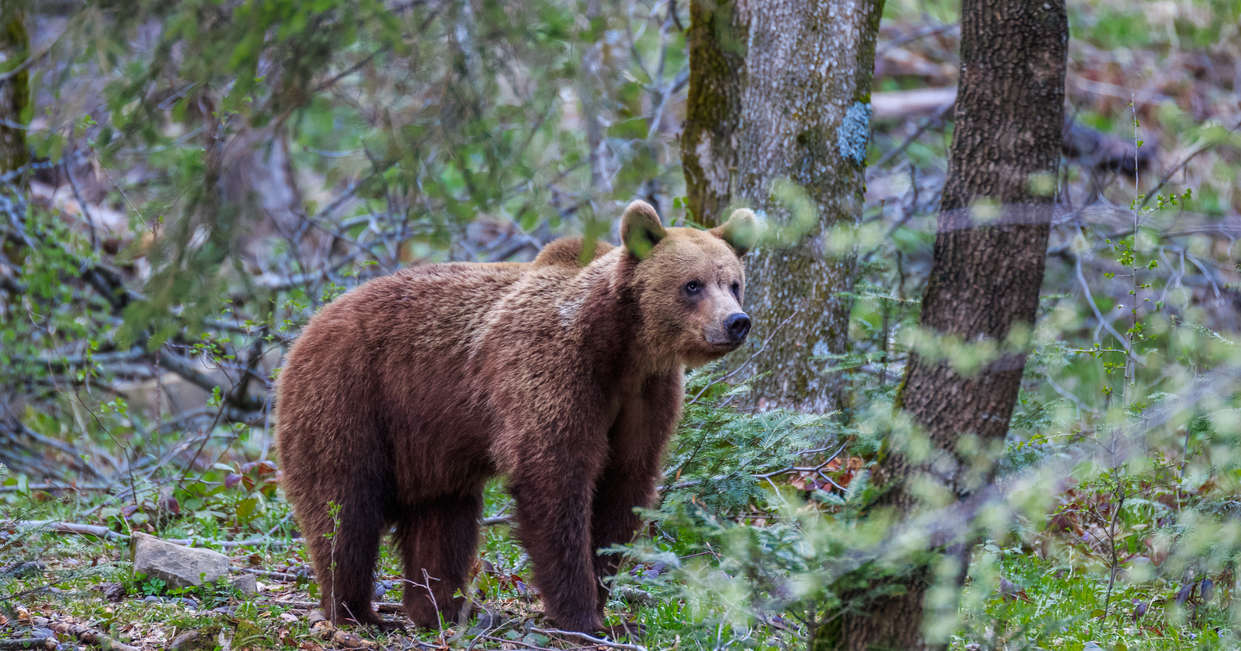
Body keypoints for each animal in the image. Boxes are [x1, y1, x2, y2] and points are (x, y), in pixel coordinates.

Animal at [276, 200, 754, 632]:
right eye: (692, 285)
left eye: (733, 283)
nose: (736, 322)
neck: (621, 346)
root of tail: (310, 325)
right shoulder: (551, 369)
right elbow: (554, 479)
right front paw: (580, 615)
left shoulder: (645, 396)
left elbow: (624, 483)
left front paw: (606, 604)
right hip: (349, 396)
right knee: (344, 509)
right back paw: (359, 613)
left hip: (428, 443)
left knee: (443, 521)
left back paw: (446, 611)